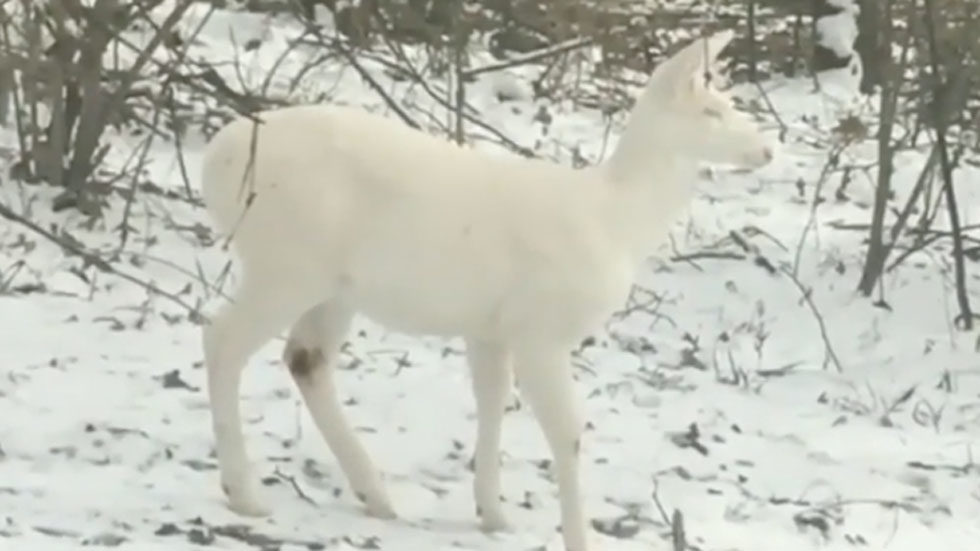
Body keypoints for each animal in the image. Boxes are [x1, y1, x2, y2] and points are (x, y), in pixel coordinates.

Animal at [199, 30, 772, 551]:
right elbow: (567, 431)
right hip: (288, 260)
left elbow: (493, 401)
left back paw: (375, 495)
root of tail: (213, 161)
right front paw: (576, 537)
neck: (617, 220)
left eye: (729, 102)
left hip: (333, 286)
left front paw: (493, 514)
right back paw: (244, 493)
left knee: (306, 358)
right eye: (712, 111)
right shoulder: (542, 327)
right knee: (222, 338)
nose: (766, 148)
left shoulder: (491, 327)